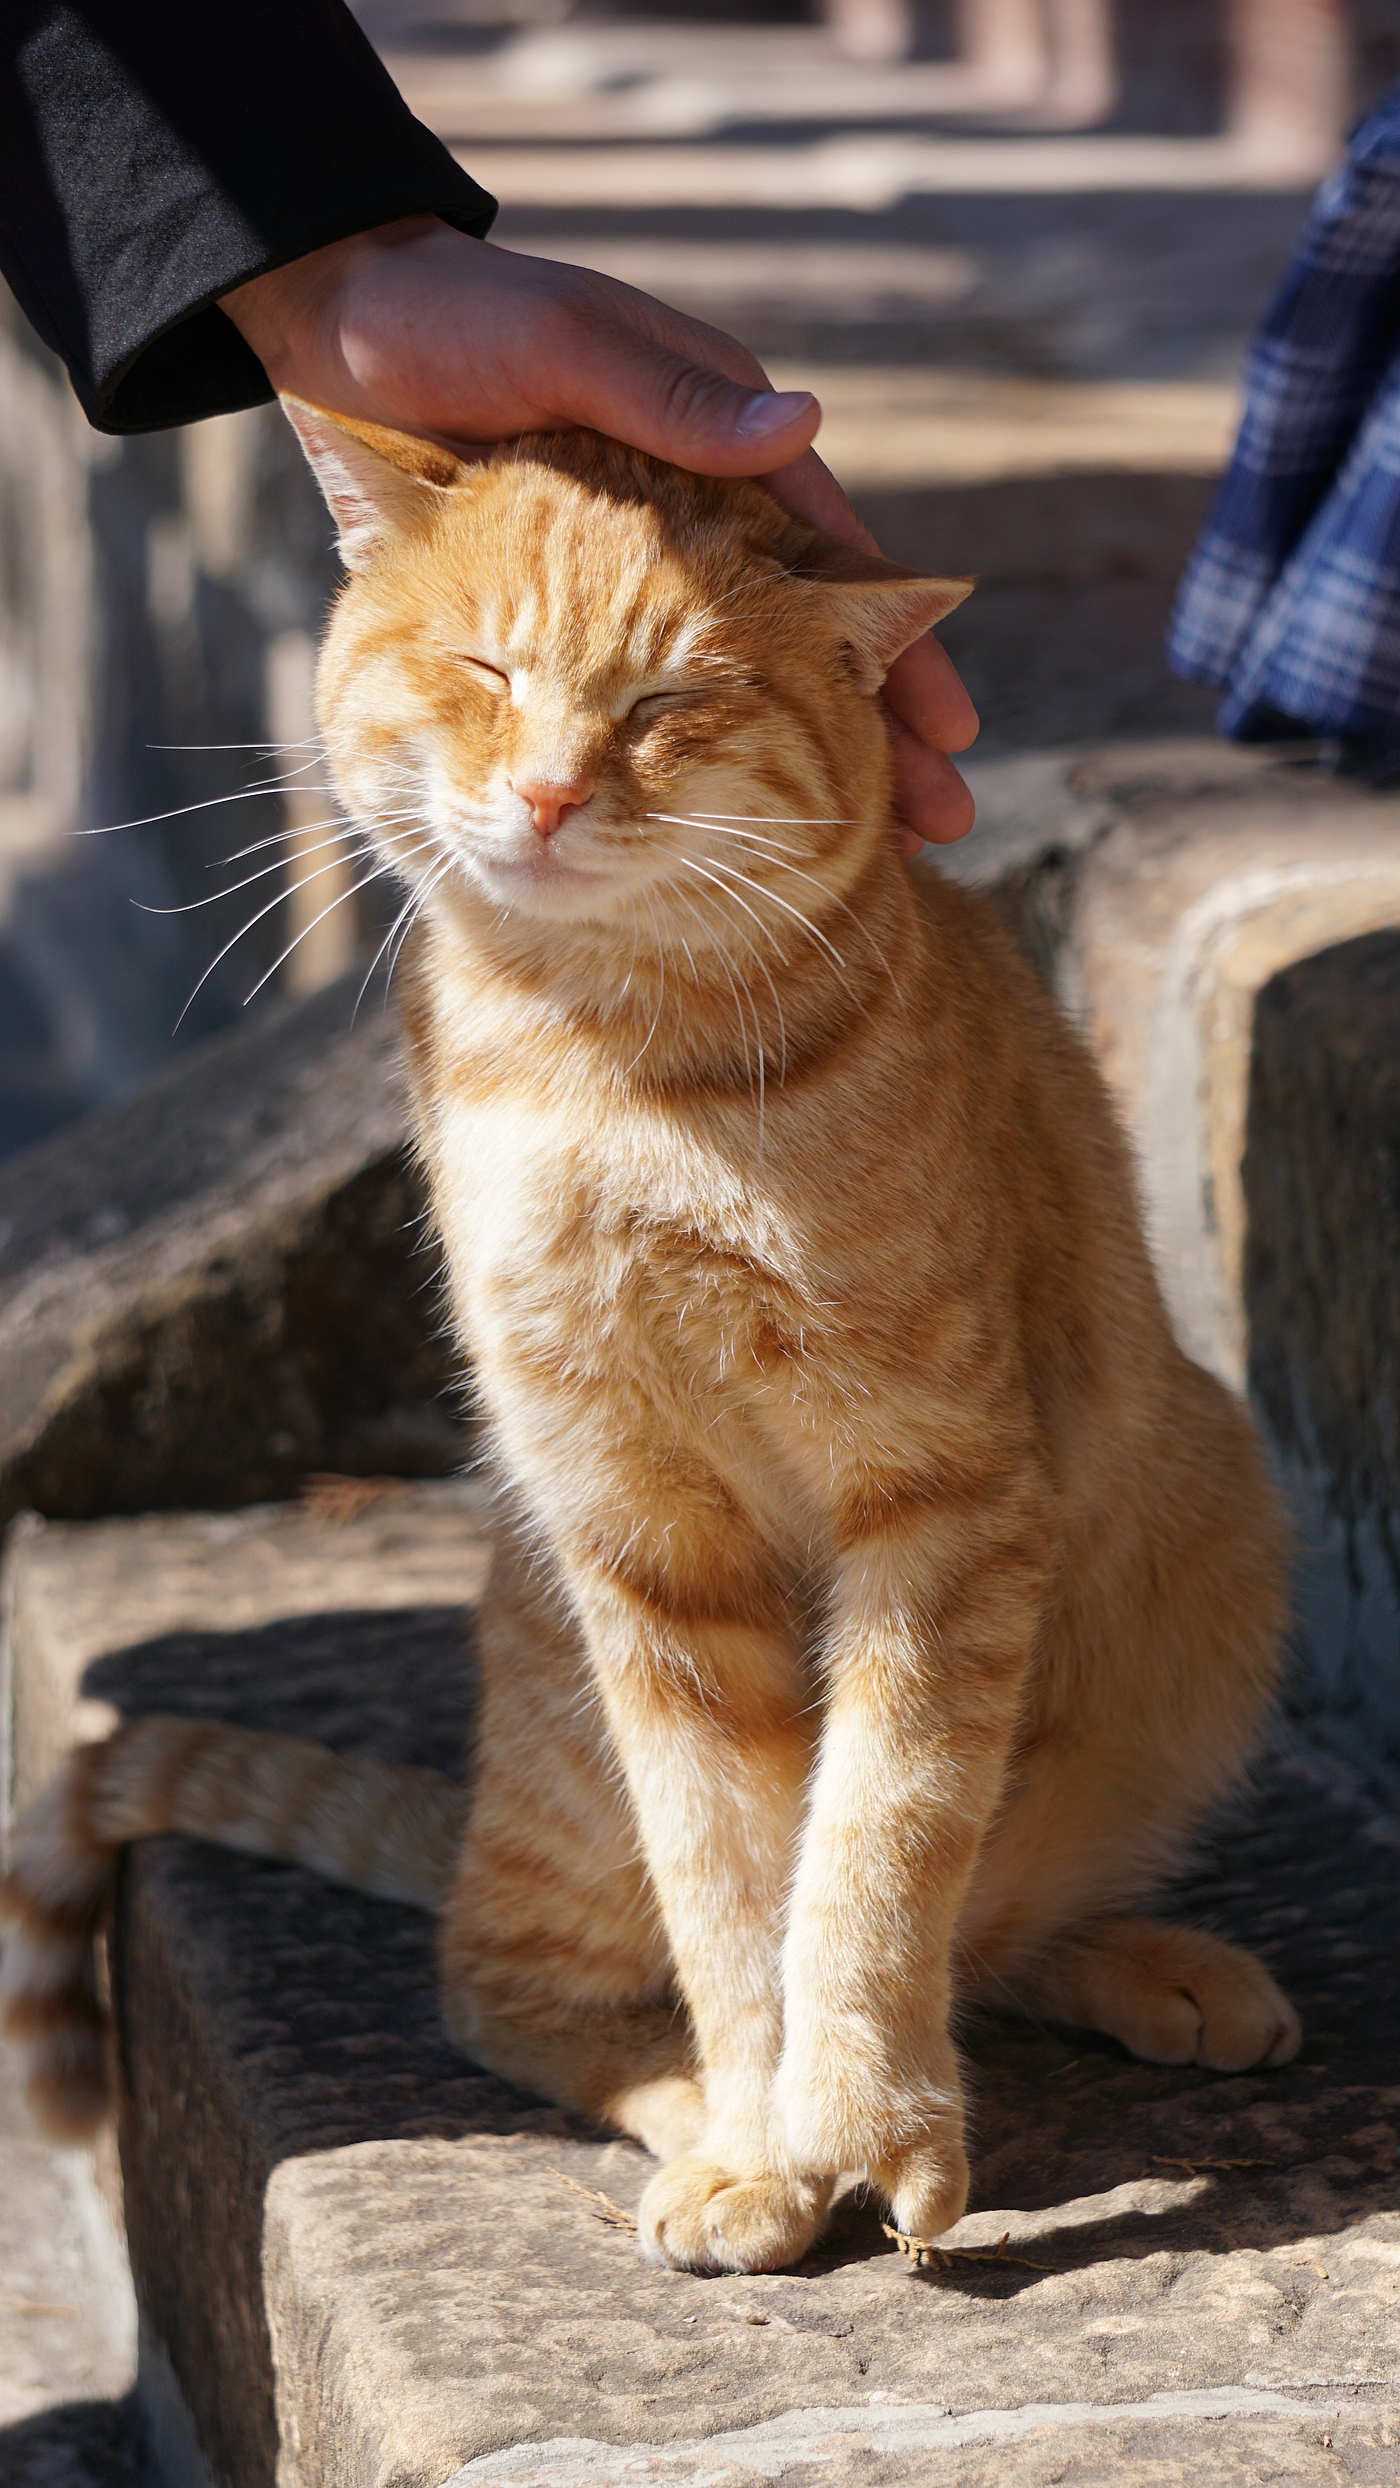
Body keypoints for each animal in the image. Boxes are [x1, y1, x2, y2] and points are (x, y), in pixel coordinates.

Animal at [0, 408, 1303, 2279]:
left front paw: (869, 2118)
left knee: (983, 1921)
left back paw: (1147, 1973)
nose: (548, 794)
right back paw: (700, 2116)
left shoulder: (943, 1497)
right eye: (486, 668)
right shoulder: (634, 1527)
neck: (609, 1058)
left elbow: (880, 1839)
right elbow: (734, 1881)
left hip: (1211, 1530)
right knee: (504, 1991)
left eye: (665, 701)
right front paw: (771, 2142)